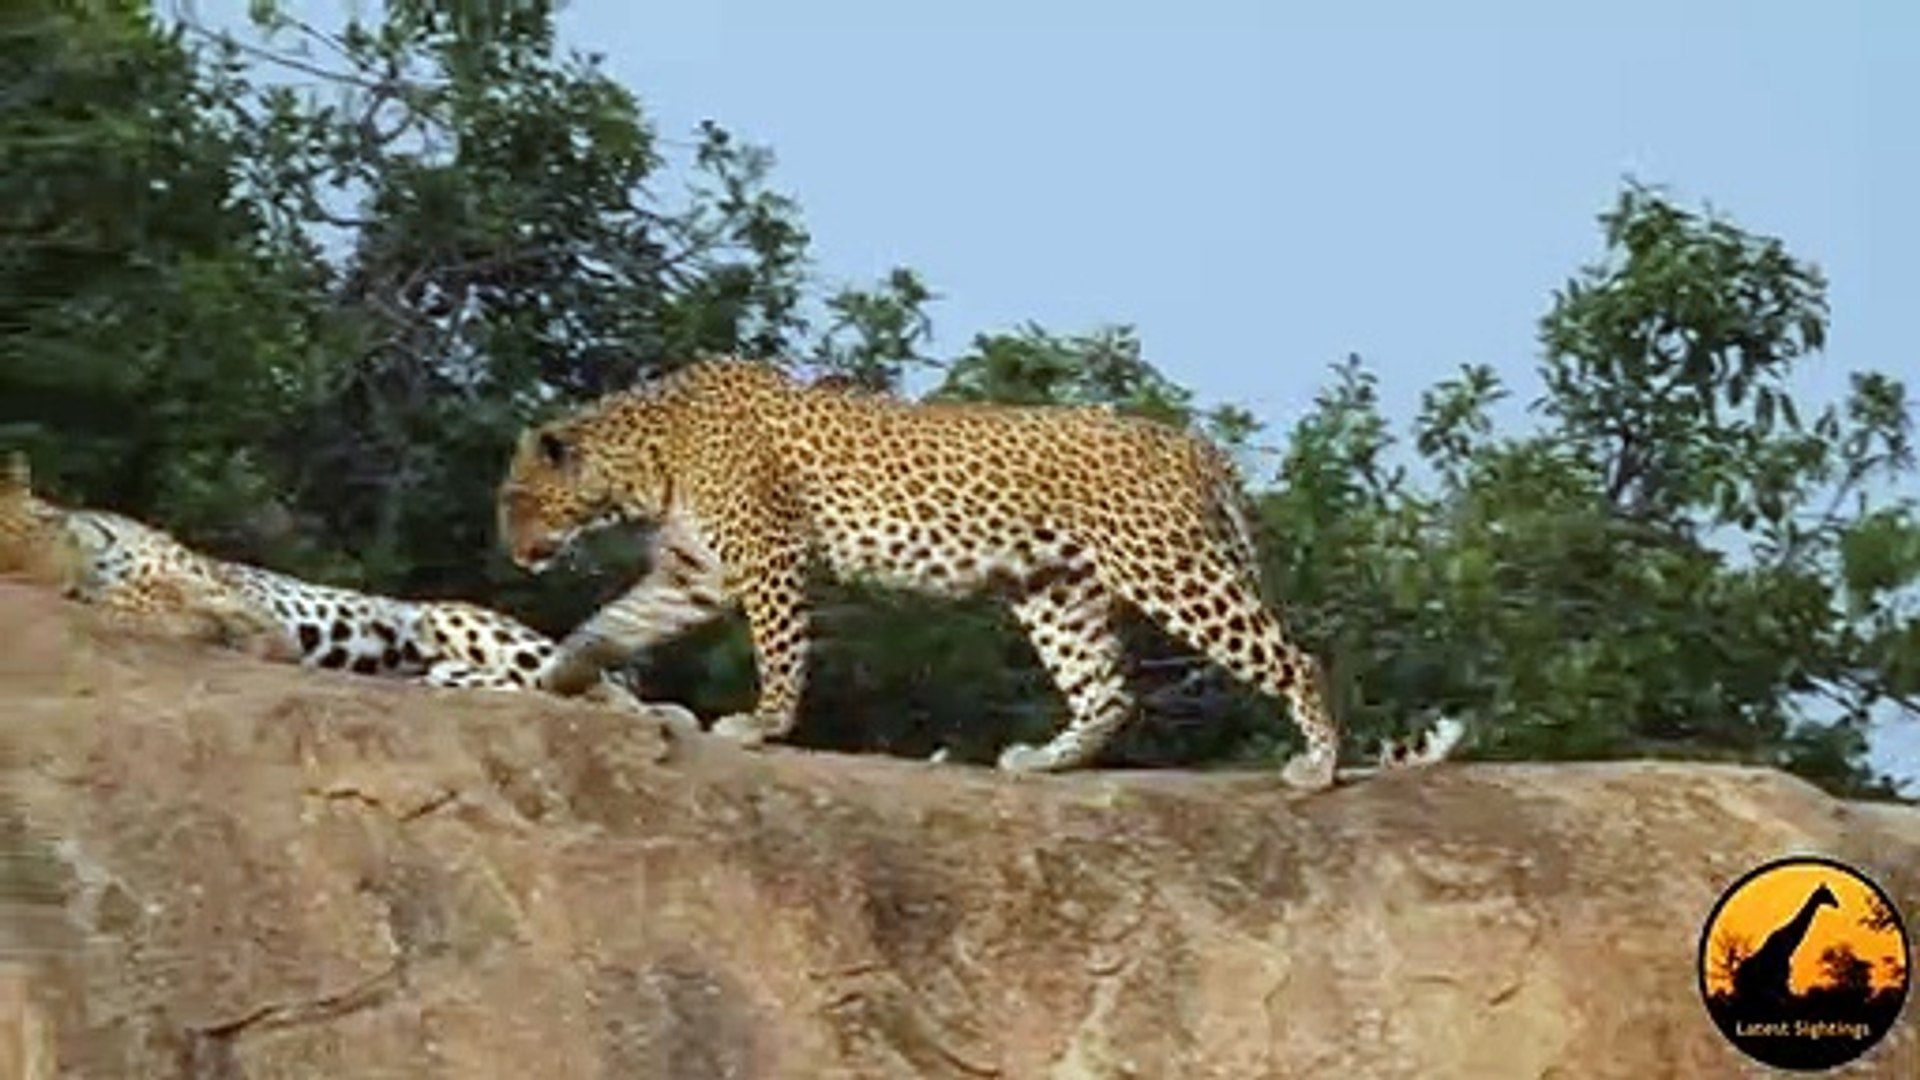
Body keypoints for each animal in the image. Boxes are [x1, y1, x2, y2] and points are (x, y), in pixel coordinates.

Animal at [494, 358, 1464, 789]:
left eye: (517, 499)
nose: (509, 551)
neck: (646, 458)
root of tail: (1189, 441)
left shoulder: (767, 560)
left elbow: (780, 651)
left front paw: (761, 725)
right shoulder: (695, 572)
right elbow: (609, 624)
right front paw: (560, 677)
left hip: (1170, 568)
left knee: (1294, 659)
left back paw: (1317, 767)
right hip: (1056, 592)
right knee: (1110, 692)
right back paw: (1044, 761)